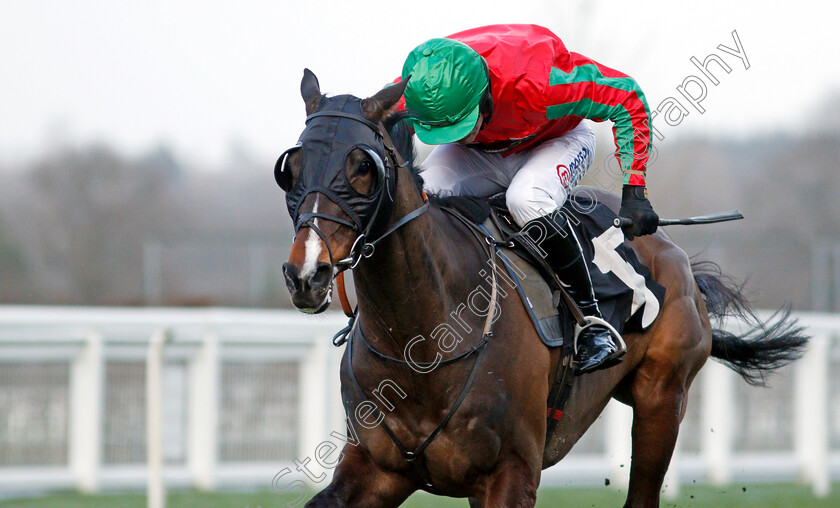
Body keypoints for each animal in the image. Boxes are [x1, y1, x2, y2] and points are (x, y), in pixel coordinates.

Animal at [278, 68, 808, 508]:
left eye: (362, 167)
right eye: (293, 167)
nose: (307, 274)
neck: (423, 343)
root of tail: (676, 255)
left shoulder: (509, 473)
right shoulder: (376, 468)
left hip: (663, 399)